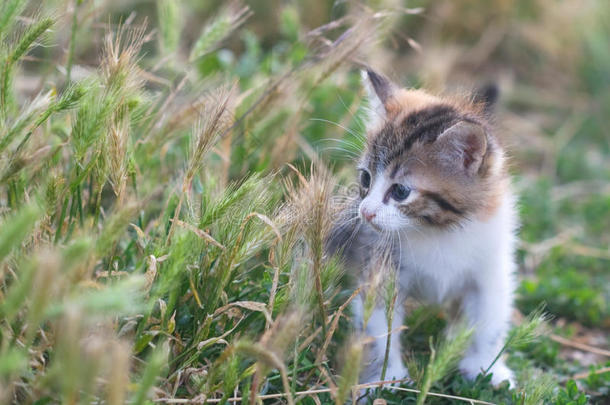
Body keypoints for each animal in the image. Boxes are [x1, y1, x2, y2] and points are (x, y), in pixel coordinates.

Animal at [330, 71, 516, 386]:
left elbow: (489, 322)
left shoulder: (490, 270)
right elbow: (379, 328)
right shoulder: (381, 267)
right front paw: (385, 377)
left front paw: (486, 368)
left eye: (401, 191)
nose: (366, 212)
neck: (437, 231)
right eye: (366, 178)